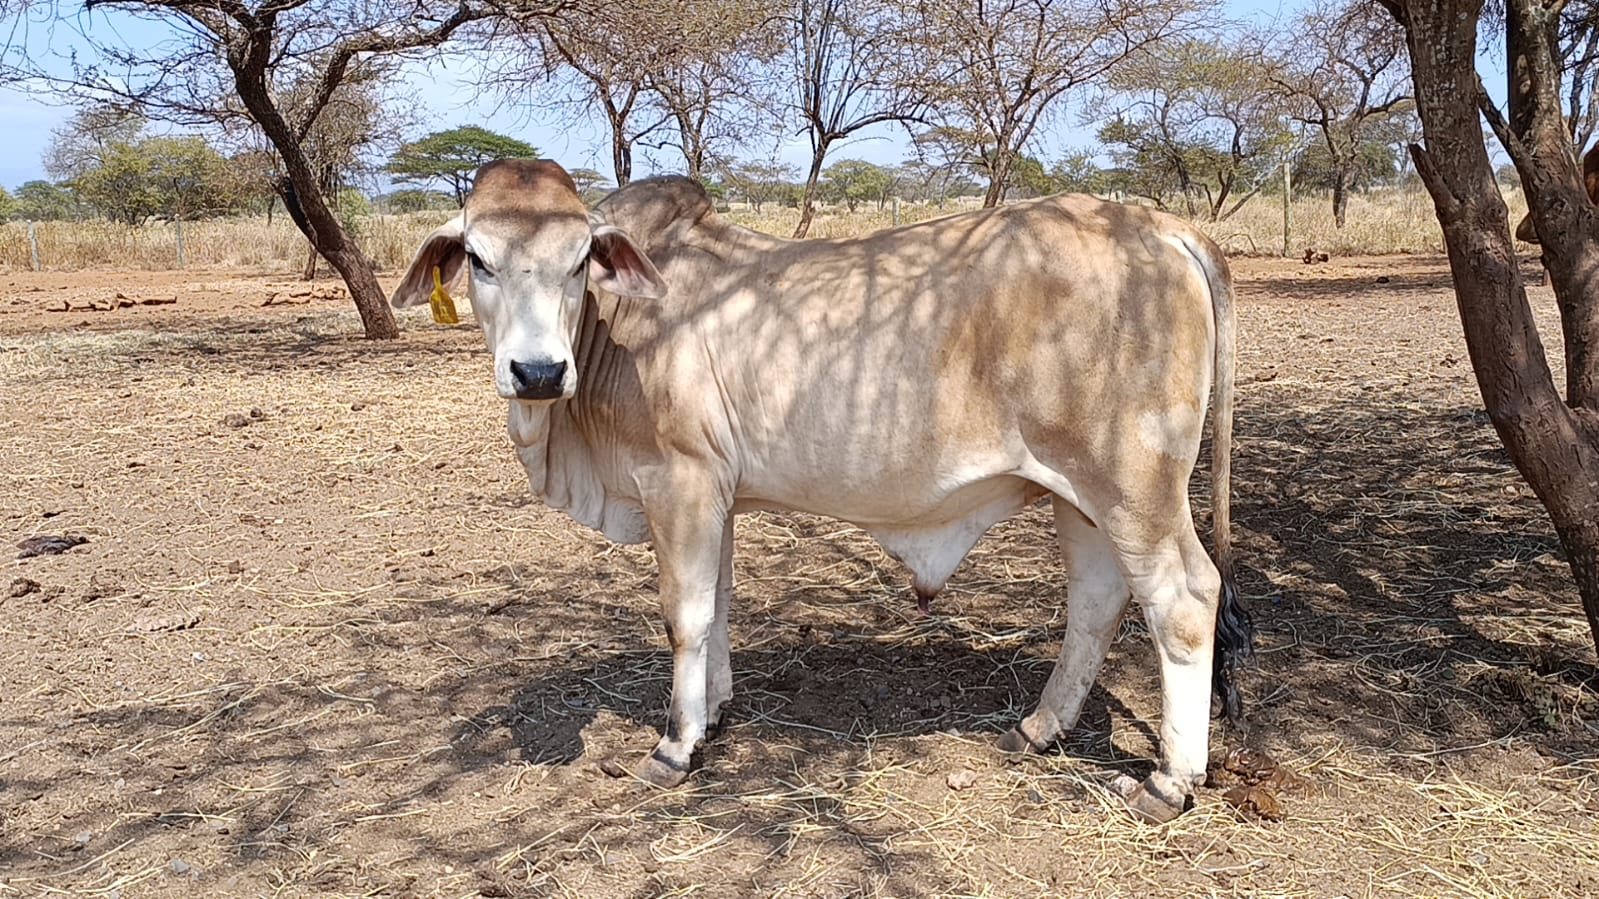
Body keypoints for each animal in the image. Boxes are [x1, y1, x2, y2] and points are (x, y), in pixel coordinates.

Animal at [391, 160, 1251, 823]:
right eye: (478, 258)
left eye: (578, 261)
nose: (537, 371)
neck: (618, 328)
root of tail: (1159, 226)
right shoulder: (717, 495)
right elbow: (719, 604)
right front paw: (715, 710)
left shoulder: (679, 481)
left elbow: (684, 616)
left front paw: (674, 745)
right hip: (1078, 495)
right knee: (1098, 601)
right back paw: (1038, 726)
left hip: (1133, 487)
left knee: (1182, 601)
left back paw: (1168, 780)